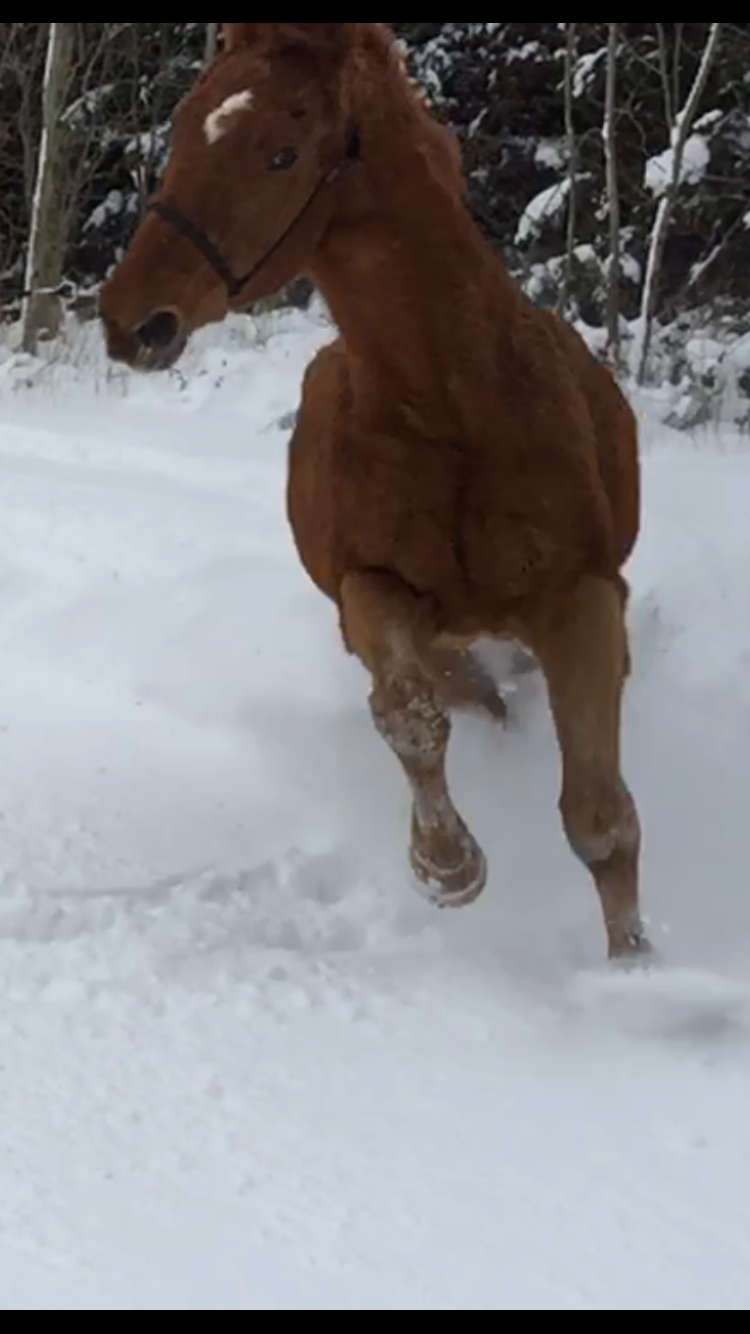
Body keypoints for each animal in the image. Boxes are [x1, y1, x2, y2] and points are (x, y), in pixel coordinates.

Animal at [99, 18, 648, 960]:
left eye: (281, 154)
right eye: (183, 130)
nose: (133, 320)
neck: (457, 412)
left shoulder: (580, 599)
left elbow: (600, 819)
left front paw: (636, 971)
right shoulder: (372, 591)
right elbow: (408, 714)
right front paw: (448, 867)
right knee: (470, 696)